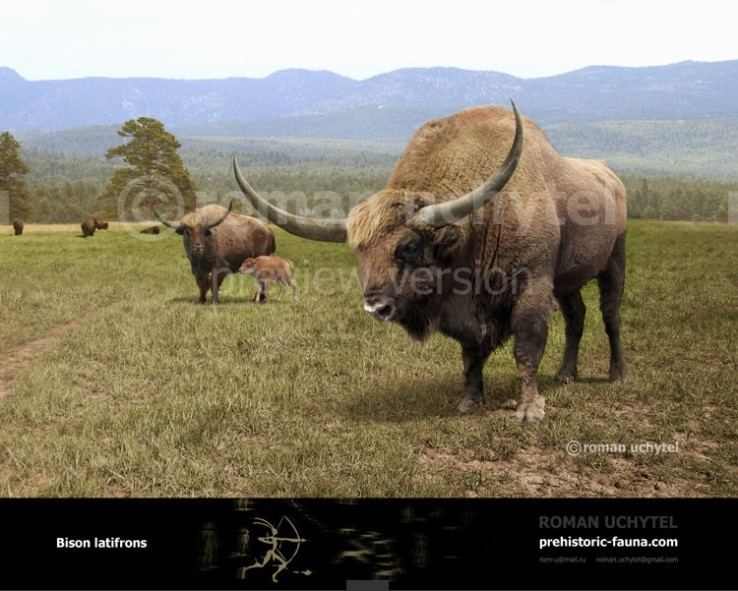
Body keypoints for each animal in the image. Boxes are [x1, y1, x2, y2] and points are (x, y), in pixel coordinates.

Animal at [233, 104, 624, 424]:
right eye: (359, 252)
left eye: (409, 246)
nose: (376, 306)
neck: (481, 223)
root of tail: (612, 177)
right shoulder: (465, 314)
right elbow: (470, 355)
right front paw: (469, 402)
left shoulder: (534, 288)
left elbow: (526, 348)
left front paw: (530, 410)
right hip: (570, 282)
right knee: (577, 317)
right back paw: (566, 374)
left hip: (613, 263)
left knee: (609, 315)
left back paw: (617, 373)